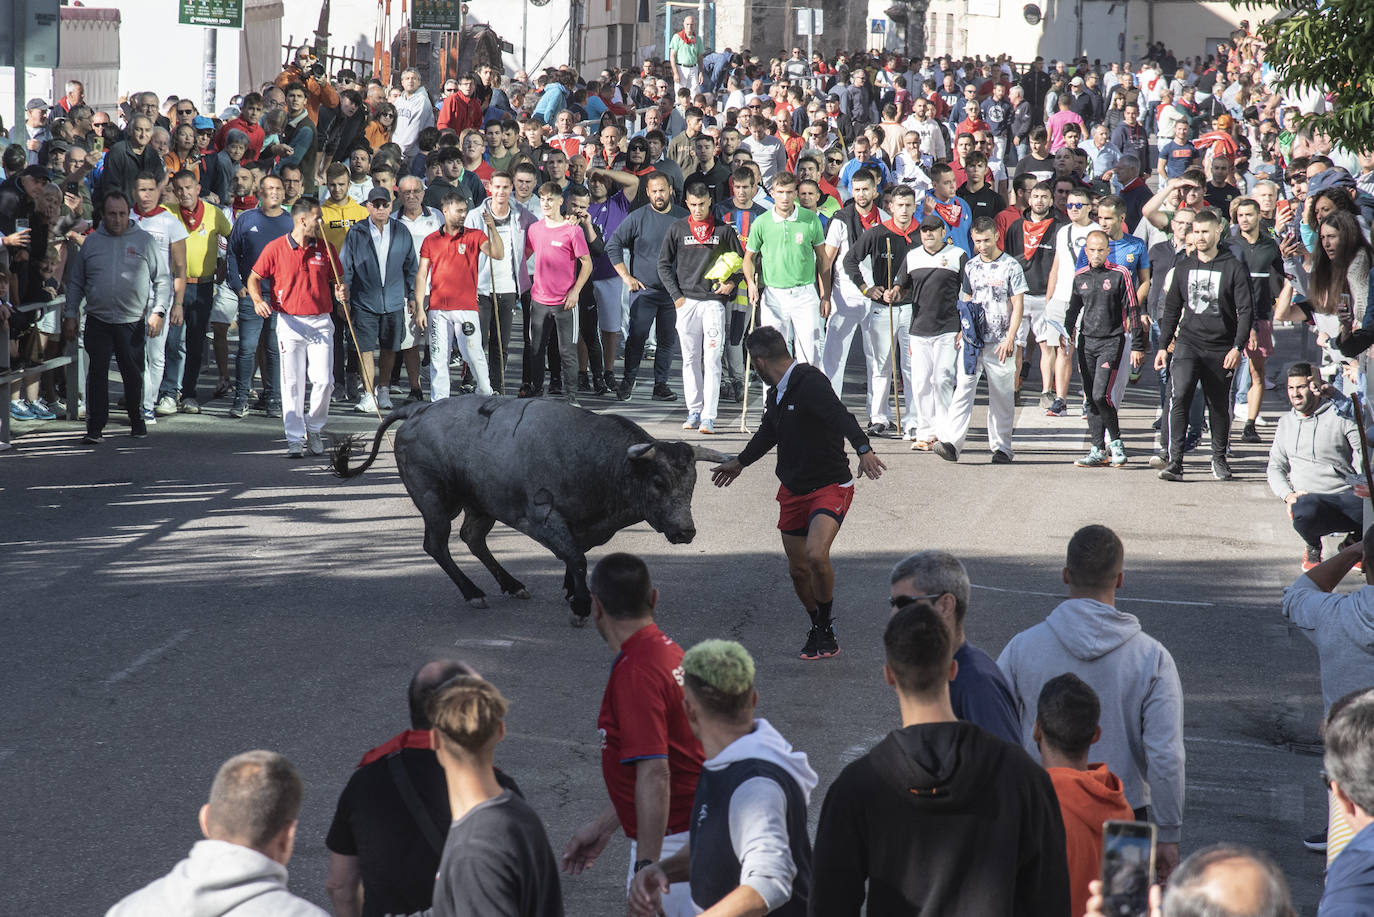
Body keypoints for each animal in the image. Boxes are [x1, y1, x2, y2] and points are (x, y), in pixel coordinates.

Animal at [328, 395, 736, 624]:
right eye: (658, 483)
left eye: (692, 483)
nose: (685, 532)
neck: (601, 463)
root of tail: (420, 408)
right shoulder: (544, 519)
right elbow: (576, 557)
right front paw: (581, 605)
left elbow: (575, 556)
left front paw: (571, 591)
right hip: (433, 500)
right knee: (437, 545)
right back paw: (473, 592)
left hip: (482, 502)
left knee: (472, 538)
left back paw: (511, 584)